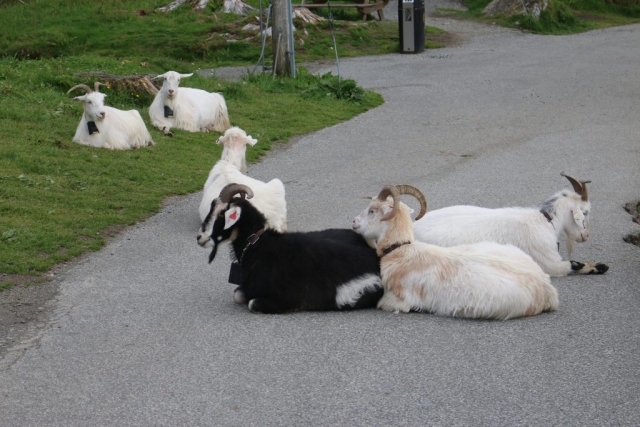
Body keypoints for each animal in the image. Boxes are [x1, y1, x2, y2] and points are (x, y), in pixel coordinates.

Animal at [198, 184, 382, 314]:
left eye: (222, 214)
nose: (200, 237)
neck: (259, 245)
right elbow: (237, 295)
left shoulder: (287, 297)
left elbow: (252, 303)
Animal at [412, 173, 608, 278]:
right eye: (585, 212)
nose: (586, 236)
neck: (545, 220)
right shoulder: (549, 263)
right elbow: (573, 265)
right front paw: (600, 266)